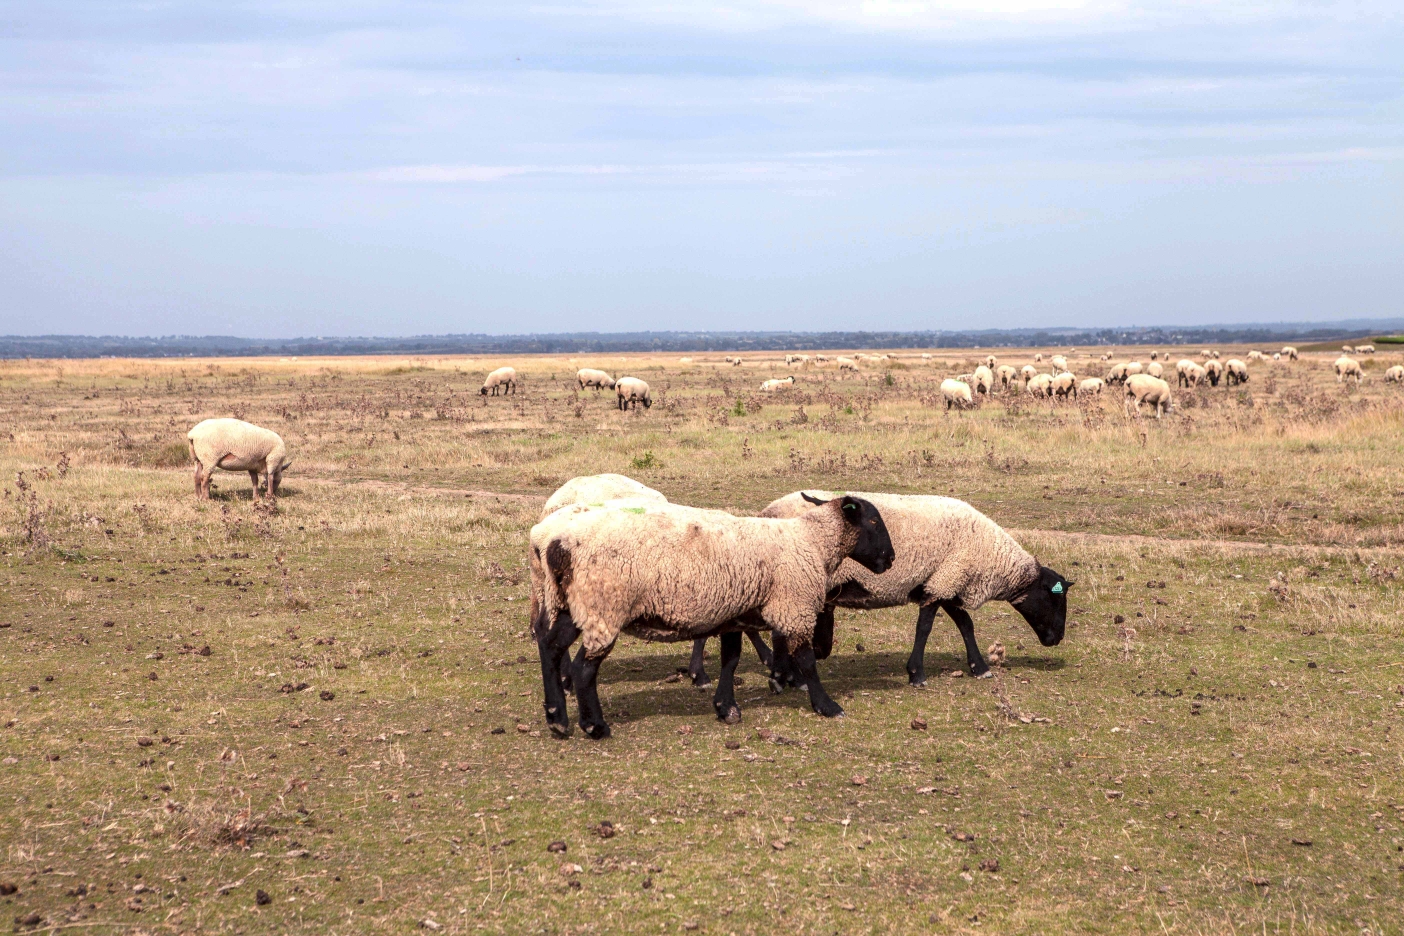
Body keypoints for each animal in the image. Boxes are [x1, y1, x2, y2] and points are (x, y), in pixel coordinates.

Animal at [530, 493, 892, 735]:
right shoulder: (794, 606)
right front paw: (827, 706)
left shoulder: (734, 612)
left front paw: (726, 707)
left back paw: (557, 717)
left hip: (571, 603)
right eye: (874, 521)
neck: (814, 542)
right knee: (583, 667)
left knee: (550, 647)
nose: (890, 559)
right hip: (603, 605)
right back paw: (594, 726)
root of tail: (555, 542)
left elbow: (730, 660)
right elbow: (806, 661)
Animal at [758, 491, 1072, 682]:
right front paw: (916, 673)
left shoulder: (944, 580)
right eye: (1055, 598)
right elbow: (925, 628)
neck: (991, 557)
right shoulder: (946, 580)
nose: (1057, 639)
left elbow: (965, 625)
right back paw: (783, 671)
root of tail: (768, 512)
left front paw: (979, 668)